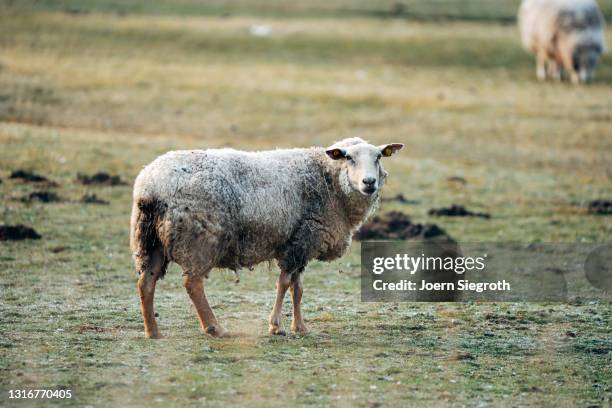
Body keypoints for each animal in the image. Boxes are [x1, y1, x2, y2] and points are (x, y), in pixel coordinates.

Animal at [131, 137, 404, 338]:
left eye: (378, 157)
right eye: (348, 157)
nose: (369, 182)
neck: (328, 180)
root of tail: (150, 187)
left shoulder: (300, 243)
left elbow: (298, 288)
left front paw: (300, 327)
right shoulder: (300, 241)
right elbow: (284, 284)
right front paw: (276, 326)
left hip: (149, 240)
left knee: (146, 282)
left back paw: (152, 332)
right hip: (199, 239)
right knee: (192, 284)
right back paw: (214, 328)